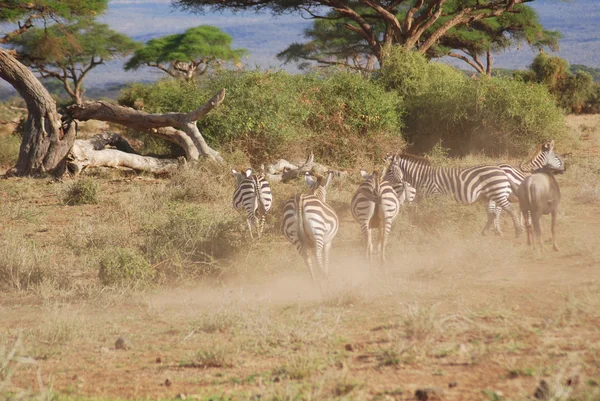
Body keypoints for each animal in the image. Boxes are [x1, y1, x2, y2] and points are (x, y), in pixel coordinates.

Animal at [390, 152, 520, 236]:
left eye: (389, 170)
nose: (386, 183)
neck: (423, 177)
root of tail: (502, 171)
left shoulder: (436, 195)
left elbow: (436, 214)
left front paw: (437, 229)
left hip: (498, 193)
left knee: (511, 209)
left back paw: (518, 232)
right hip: (487, 197)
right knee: (492, 214)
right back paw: (484, 233)